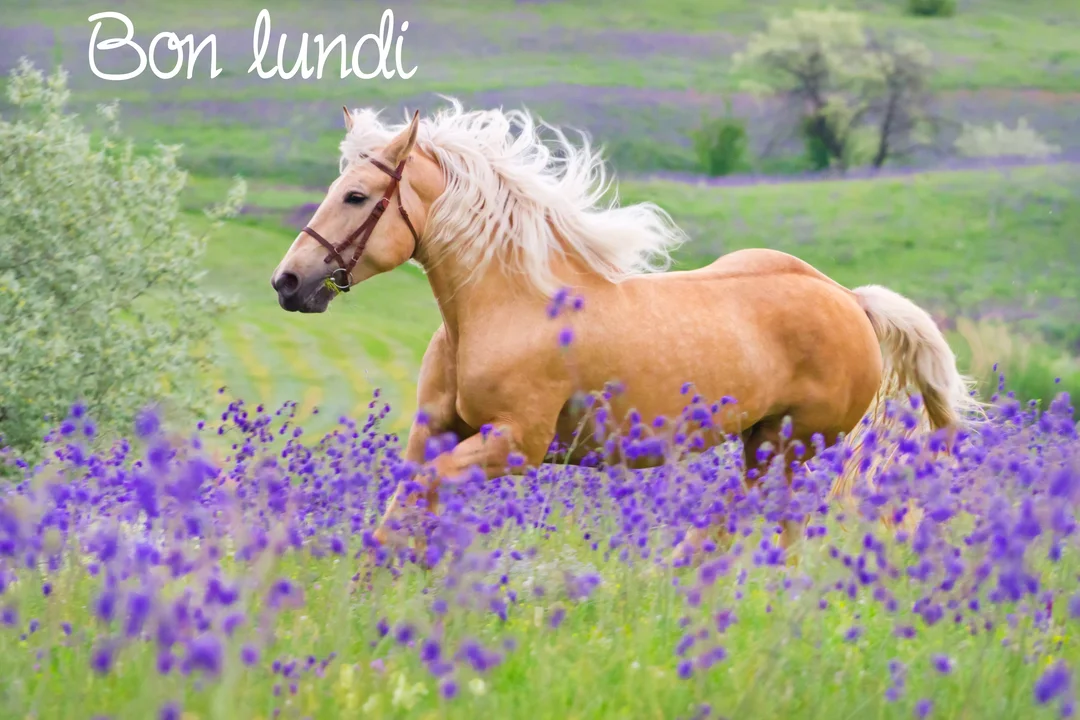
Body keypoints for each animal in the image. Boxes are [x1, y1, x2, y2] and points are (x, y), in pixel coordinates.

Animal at [269, 101, 984, 562]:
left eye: (357, 197)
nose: (288, 282)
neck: (505, 306)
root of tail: (848, 300)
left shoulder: (515, 443)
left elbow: (423, 497)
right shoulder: (437, 432)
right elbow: (401, 510)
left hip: (790, 445)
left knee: (761, 518)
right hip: (764, 443)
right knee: (758, 519)